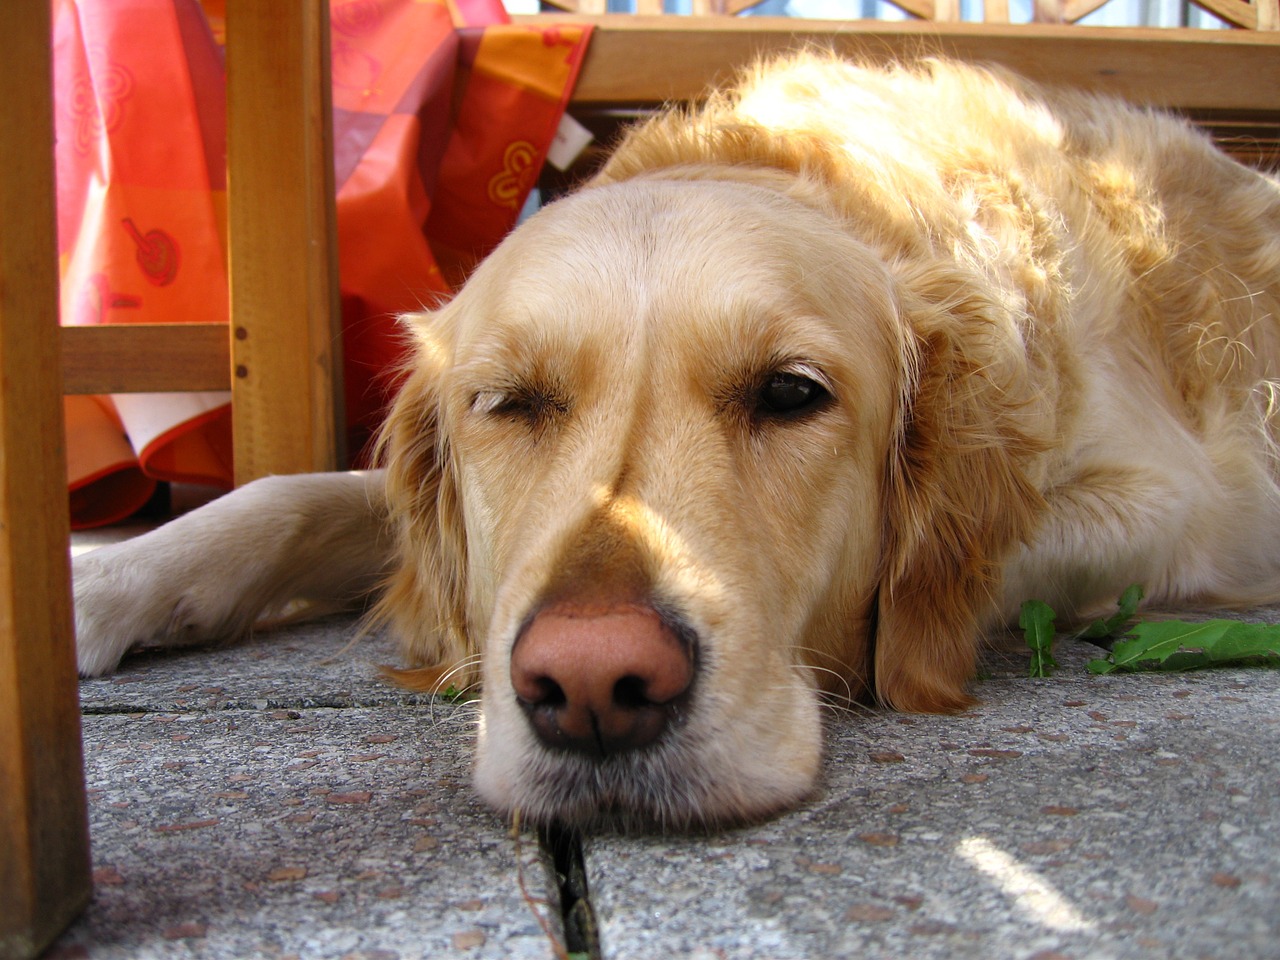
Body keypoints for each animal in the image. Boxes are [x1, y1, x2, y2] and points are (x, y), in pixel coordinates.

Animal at [72, 56, 1280, 829]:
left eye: (790, 394)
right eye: (508, 403)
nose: (591, 686)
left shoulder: (1181, 507)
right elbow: (289, 494)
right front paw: (104, 583)